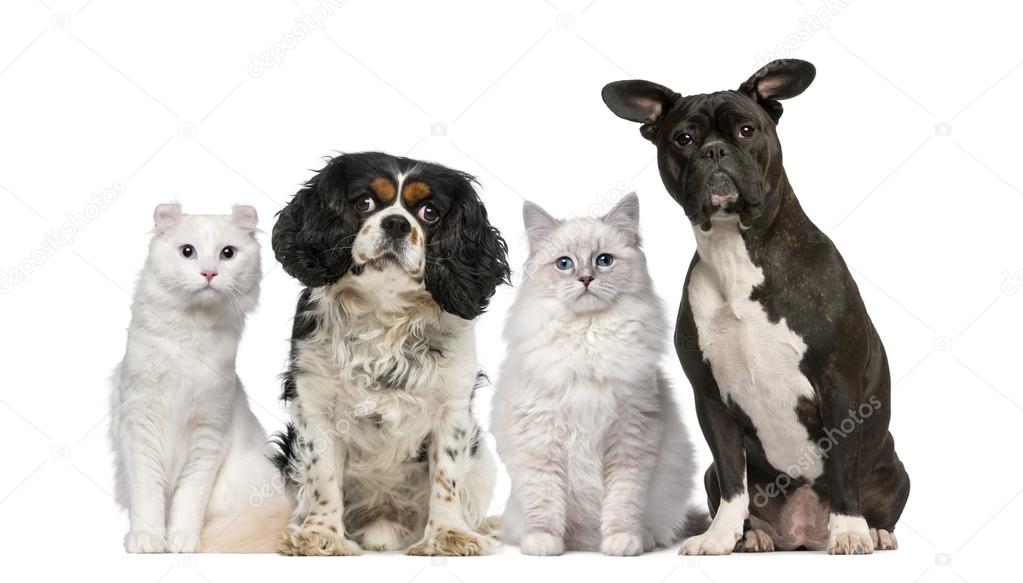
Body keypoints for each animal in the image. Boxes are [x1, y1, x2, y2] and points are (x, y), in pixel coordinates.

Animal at [108, 206, 288, 552]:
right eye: (187, 252)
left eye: (227, 253)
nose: (208, 273)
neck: (190, 336)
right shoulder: (139, 427)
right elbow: (148, 496)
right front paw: (148, 538)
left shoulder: (209, 434)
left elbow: (189, 498)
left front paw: (183, 539)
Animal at [270, 151, 509, 552]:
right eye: (365, 202)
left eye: (430, 212)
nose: (396, 223)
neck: (385, 311)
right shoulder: (315, 407)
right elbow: (323, 478)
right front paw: (321, 535)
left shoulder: (452, 408)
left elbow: (446, 478)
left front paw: (449, 534)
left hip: (484, 461)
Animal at [491, 194, 699, 552]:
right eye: (564, 264)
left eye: (604, 261)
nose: (586, 279)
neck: (587, 337)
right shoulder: (540, 442)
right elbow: (545, 503)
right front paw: (545, 543)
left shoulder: (630, 440)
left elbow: (622, 503)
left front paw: (621, 541)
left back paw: (639, 539)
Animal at [597, 60, 912, 552]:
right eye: (682, 138)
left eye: (747, 130)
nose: (715, 151)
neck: (736, 253)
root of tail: (802, 534)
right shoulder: (711, 399)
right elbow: (732, 478)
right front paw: (719, 537)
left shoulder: (839, 386)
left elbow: (844, 467)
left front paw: (849, 531)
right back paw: (753, 536)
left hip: (895, 468)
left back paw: (873, 531)